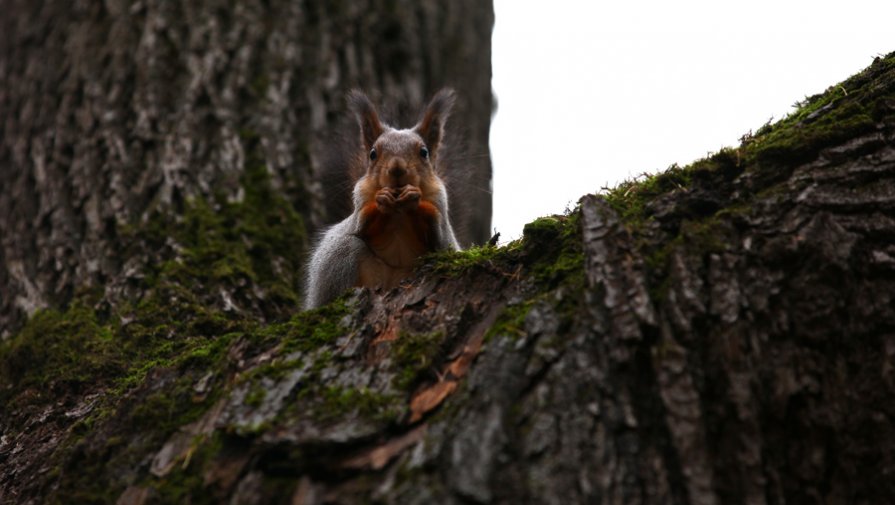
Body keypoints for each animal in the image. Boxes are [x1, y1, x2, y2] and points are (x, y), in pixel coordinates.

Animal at [308, 88, 462, 308]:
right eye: (373, 153)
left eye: (424, 152)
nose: (397, 167)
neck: (398, 211)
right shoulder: (360, 198)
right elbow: (362, 222)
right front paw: (382, 199)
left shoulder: (440, 203)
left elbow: (438, 232)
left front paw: (414, 198)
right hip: (341, 257)